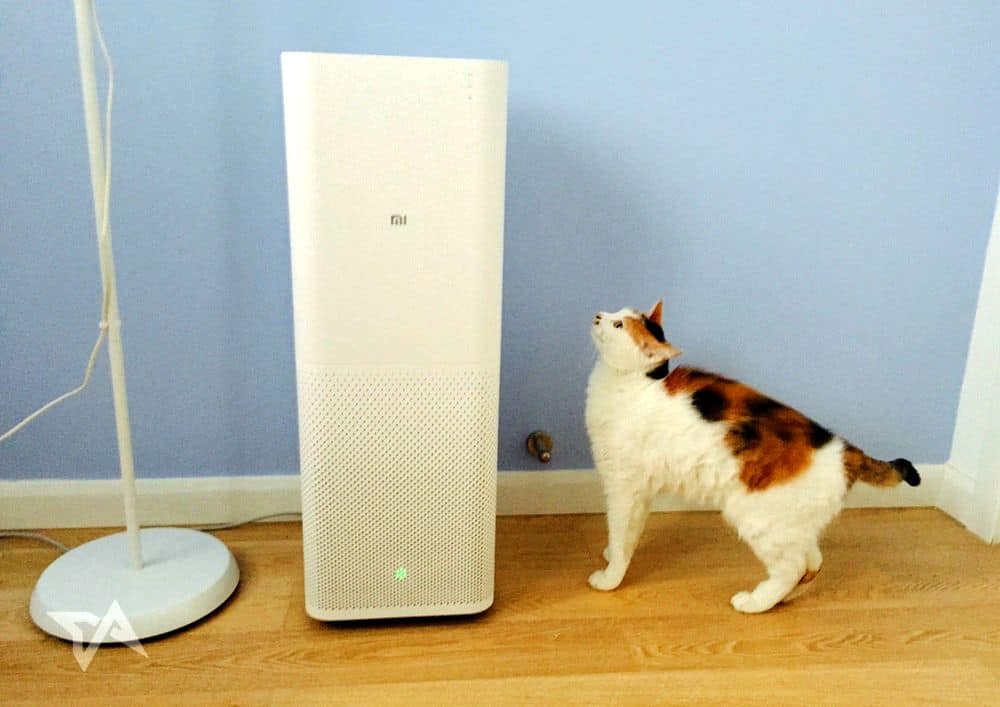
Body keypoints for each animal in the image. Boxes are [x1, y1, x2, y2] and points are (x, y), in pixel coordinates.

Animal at [585, 300, 920, 613]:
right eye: (616, 311)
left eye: (618, 325)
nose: (598, 315)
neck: (633, 386)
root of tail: (845, 449)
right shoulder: (641, 490)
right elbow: (630, 532)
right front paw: (611, 554)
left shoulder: (623, 485)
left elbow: (620, 531)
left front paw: (610, 577)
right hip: (794, 525)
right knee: (814, 560)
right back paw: (784, 597)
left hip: (757, 519)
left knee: (792, 567)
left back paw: (755, 602)